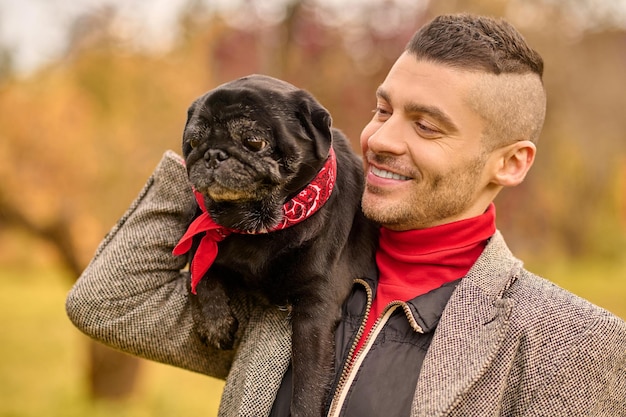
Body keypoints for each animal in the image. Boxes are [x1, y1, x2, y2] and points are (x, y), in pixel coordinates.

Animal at [173, 75, 376, 416]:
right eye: (193, 143)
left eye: (254, 142)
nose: (213, 154)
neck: (259, 226)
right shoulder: (200, 228)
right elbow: (201, 273)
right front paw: (215, 322)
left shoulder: (315, 309)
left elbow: (307, 382)